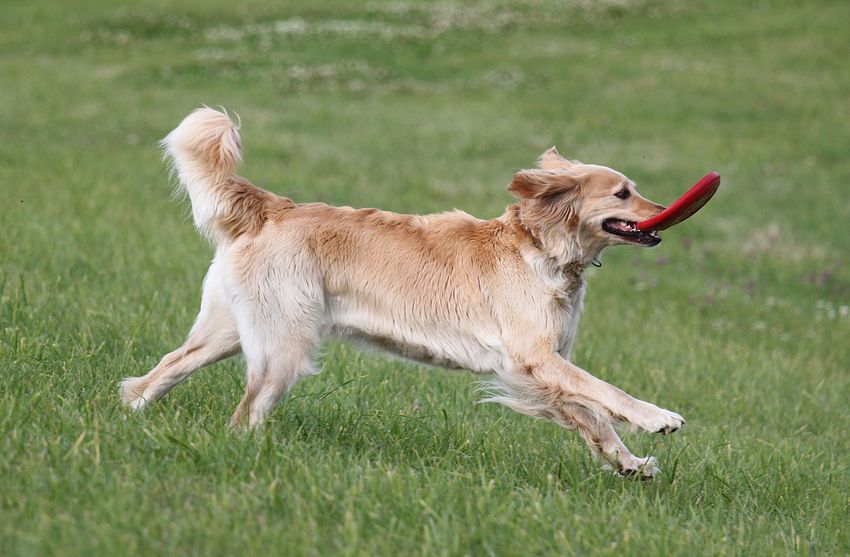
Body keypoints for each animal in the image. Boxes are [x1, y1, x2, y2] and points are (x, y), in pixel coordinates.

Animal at [120, 107, 684, 479]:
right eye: (623, 193)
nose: (667, 215)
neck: (540, 247)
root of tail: (273, 206)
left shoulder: (539, 369)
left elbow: (594, 417)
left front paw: (631, 463)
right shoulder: (535, 358)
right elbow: (608, 394)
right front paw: (656, 418)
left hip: (230, 332)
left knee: (155, 375)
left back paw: (129, 417)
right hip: (285, 346)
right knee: (245, 414)